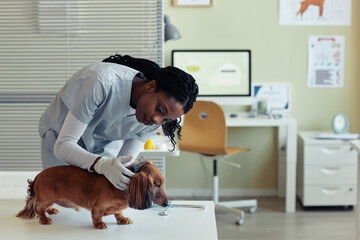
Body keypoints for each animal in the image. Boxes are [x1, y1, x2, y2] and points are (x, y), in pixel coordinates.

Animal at [16, 161, 168, 229]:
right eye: (157, 185)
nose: (167, 203)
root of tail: (37, 176)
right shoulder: (97, 206)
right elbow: (96, 216)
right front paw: (99, 224)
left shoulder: (117, 208)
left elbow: (118, 213)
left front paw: (123, 219)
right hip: (45, 198)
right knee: (38, 208)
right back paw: (44, 218)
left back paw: (52, 210)